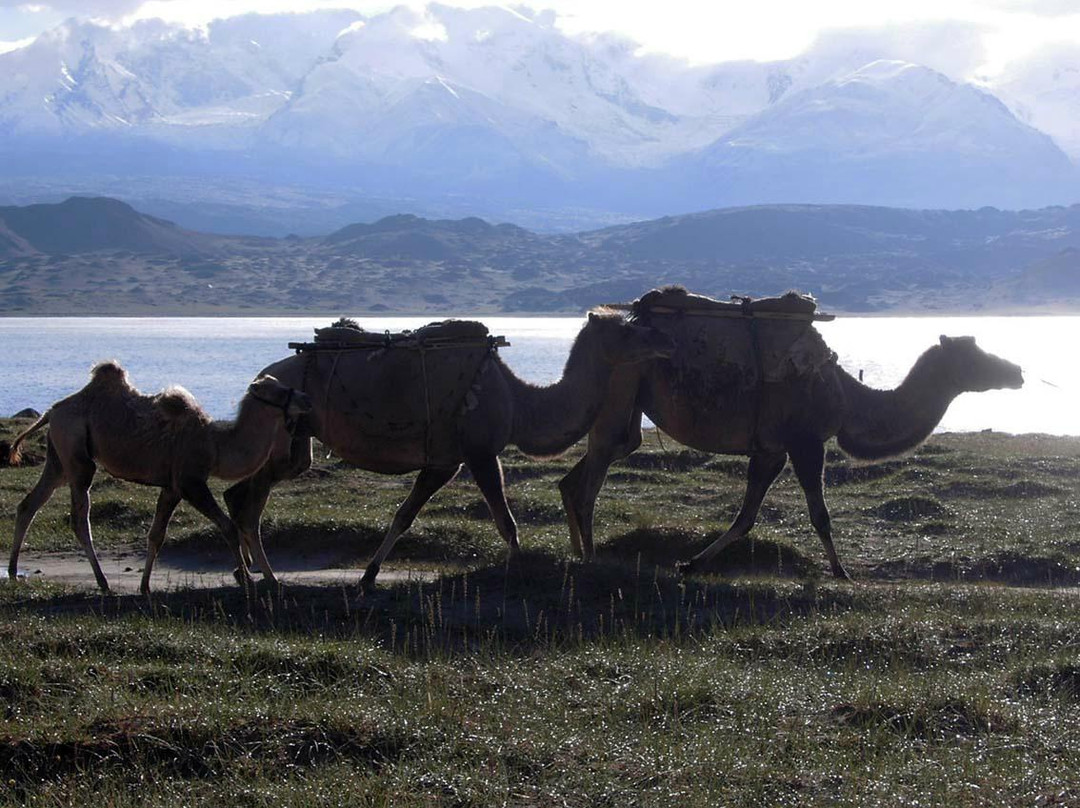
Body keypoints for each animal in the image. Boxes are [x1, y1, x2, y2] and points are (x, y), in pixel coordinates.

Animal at [7, 360, 313, 591]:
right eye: (277, 391)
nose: (305, 399)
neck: (215, 445)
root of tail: (51, 411)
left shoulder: (172, 487)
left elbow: (156, 535)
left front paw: (145, 586)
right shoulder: (191, 482)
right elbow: (227, 527)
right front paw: (246, 578)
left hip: (58, 457)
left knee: (29, 504)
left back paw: (12, 571)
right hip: (77, 455)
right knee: (80, 519)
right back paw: (102, 581)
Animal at [220, 311, 673, 587]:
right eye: (626, 329)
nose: (662, 337)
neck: (519, 402)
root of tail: (259, 379)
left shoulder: (445, 462)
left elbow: (404, 515)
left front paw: (369, 575)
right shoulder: (480, 451)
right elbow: (506, 521)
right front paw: (519, 568)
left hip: (296, 444)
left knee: (240, 495)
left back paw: (249, 574)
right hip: (283, 437)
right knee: (247, 501)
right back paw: (265, 578)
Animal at [557, 287, 1019, 578]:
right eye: (974, 355)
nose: (1017, 371)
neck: (848, 399)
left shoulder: (770, 449)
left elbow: (746, 517)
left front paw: (691, 563)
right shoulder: (805, 441)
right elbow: (820, 514)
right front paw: (842, 572)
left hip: (627, 407)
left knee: (582, 473)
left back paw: (578, 552)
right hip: (622, 383)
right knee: (591, 479)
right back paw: (592, 558)